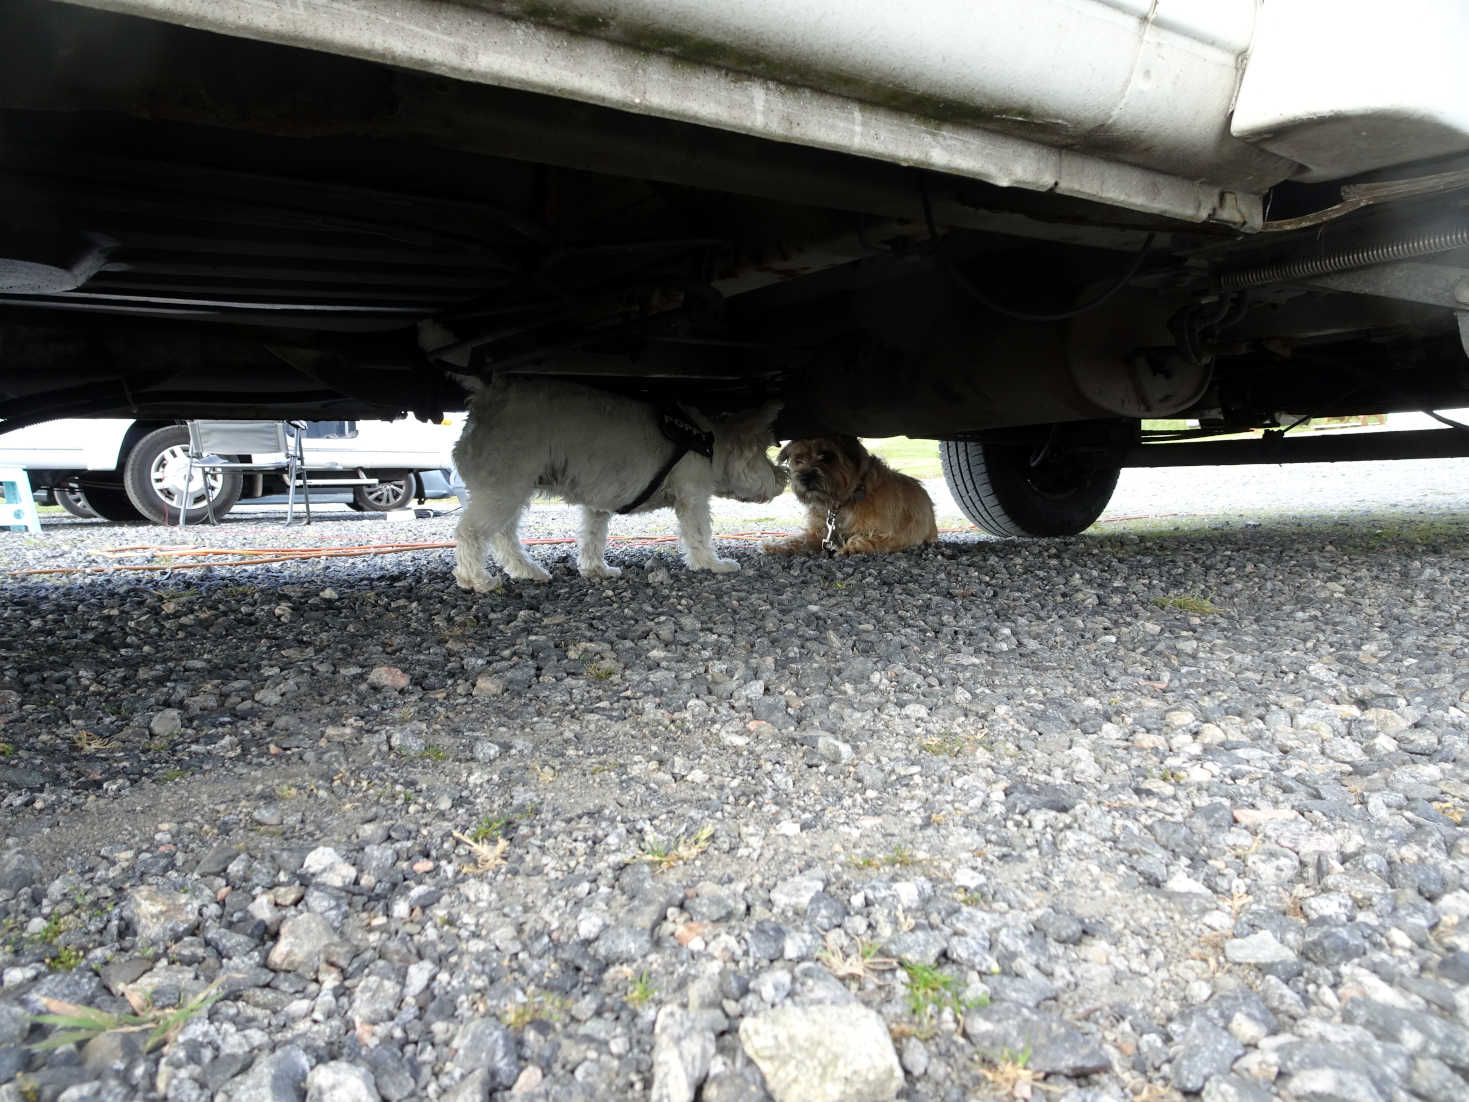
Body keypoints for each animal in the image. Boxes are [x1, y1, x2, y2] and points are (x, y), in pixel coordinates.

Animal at [446, 376, 787, 590]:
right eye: (765, 452)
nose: (783, 477)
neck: (709, 441)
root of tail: (487, 396)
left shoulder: (597, 503)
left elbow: (593, 536)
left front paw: (595, 569)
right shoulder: (693, 497)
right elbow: (700, 533)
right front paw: (712, 565)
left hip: (511, 490)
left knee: (504, 537)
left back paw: (528, 571)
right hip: (504, 488)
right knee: (471, 533)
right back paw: (476, 579)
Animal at [763, 434, 934, 555]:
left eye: (826, 456)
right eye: (798, 459)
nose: (804, 477)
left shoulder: (895, 535)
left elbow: (863, 538)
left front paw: (849, 547)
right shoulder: (820, 532)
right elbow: (800, 539)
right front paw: (777, 545)